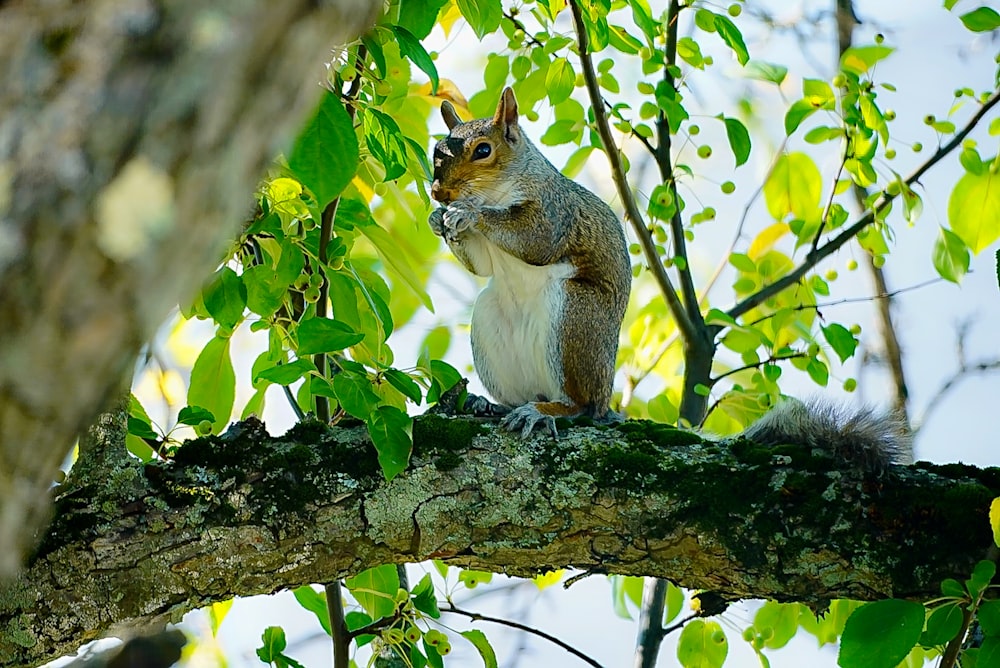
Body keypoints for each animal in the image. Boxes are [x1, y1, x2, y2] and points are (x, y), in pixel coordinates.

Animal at [426, 85, 628, 438]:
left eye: (483, 150)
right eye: (436, 150)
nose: (439, 194)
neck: (494, 194)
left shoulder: (554, 212)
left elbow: (536, 242)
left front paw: (469, 213)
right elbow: (481, 266)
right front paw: (438, 219)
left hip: (577, 316)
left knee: (582, 406)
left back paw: (544, 411)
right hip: (489, 324)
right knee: (521, 396)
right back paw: (490, 405)